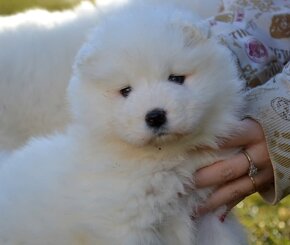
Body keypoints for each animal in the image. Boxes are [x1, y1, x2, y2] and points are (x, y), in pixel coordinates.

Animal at [0, 1, 247, 245]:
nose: (155, 116)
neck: (164, 158)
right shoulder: (126, 226)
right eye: (126, 91)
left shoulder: (209, 211)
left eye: (176, 79)